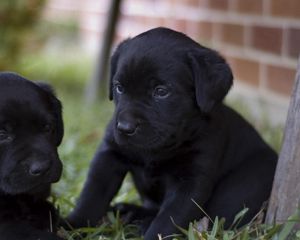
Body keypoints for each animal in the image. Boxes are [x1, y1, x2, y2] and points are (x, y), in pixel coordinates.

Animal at [68, 27, 278, 238]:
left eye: (161, 91)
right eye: (119, 87)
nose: (124, 127)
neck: (158, 150)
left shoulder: (191, 180)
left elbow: (168, 219)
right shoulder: (109, 155)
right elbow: (92, 196)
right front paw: (70, 225)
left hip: (244, 184)